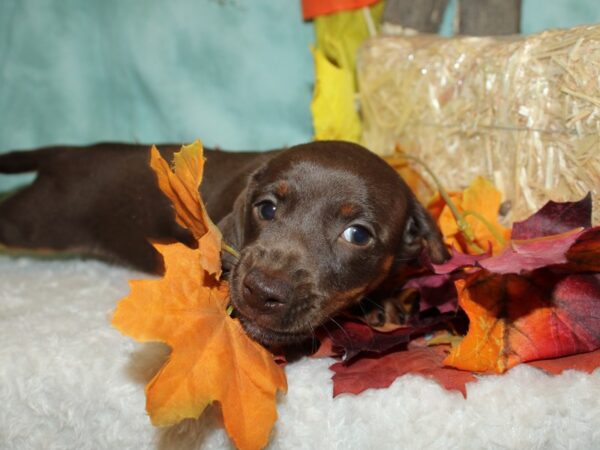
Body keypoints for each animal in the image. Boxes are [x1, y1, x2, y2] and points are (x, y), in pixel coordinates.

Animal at [0, 141, 446, 344]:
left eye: (358, 235)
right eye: (266, 208)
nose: (261, 292)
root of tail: (67, 153)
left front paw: (382, 304)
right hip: (35, 222)